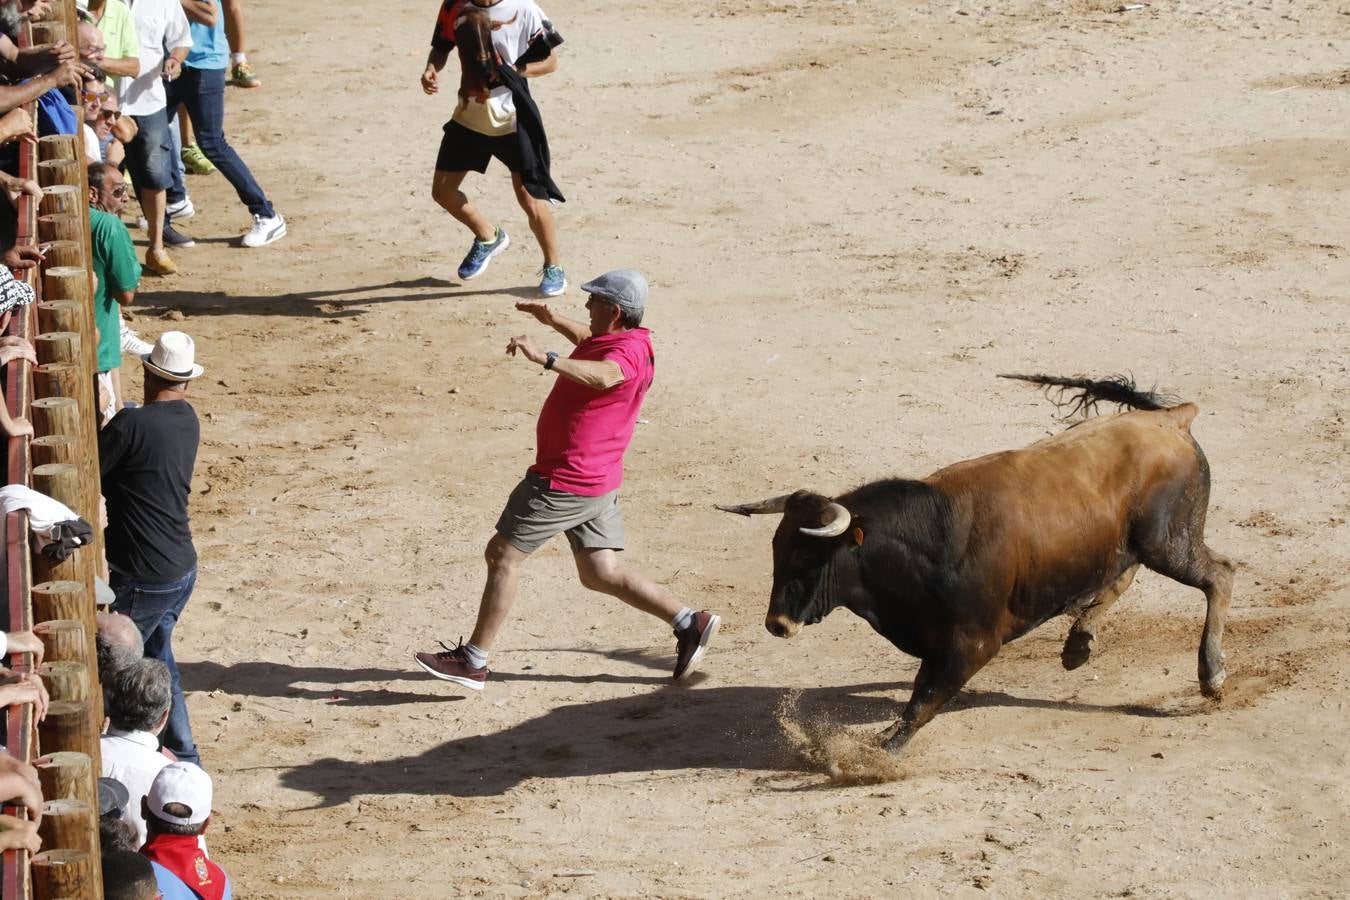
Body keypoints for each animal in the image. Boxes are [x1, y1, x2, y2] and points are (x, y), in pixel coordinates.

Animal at [718, 372, 1236, 755]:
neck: (928, 543)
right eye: (776, 549)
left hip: (1168, 541)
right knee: (1121, 575)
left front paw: (877, 754)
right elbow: (921, 694)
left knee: (1219, 575)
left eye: (810, 555)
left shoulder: (972, 645)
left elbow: (922, 702)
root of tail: (1170, 419)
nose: (777, 624)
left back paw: (1211, 676)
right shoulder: (936, 645)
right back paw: (1078, 644)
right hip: (1133, 542)